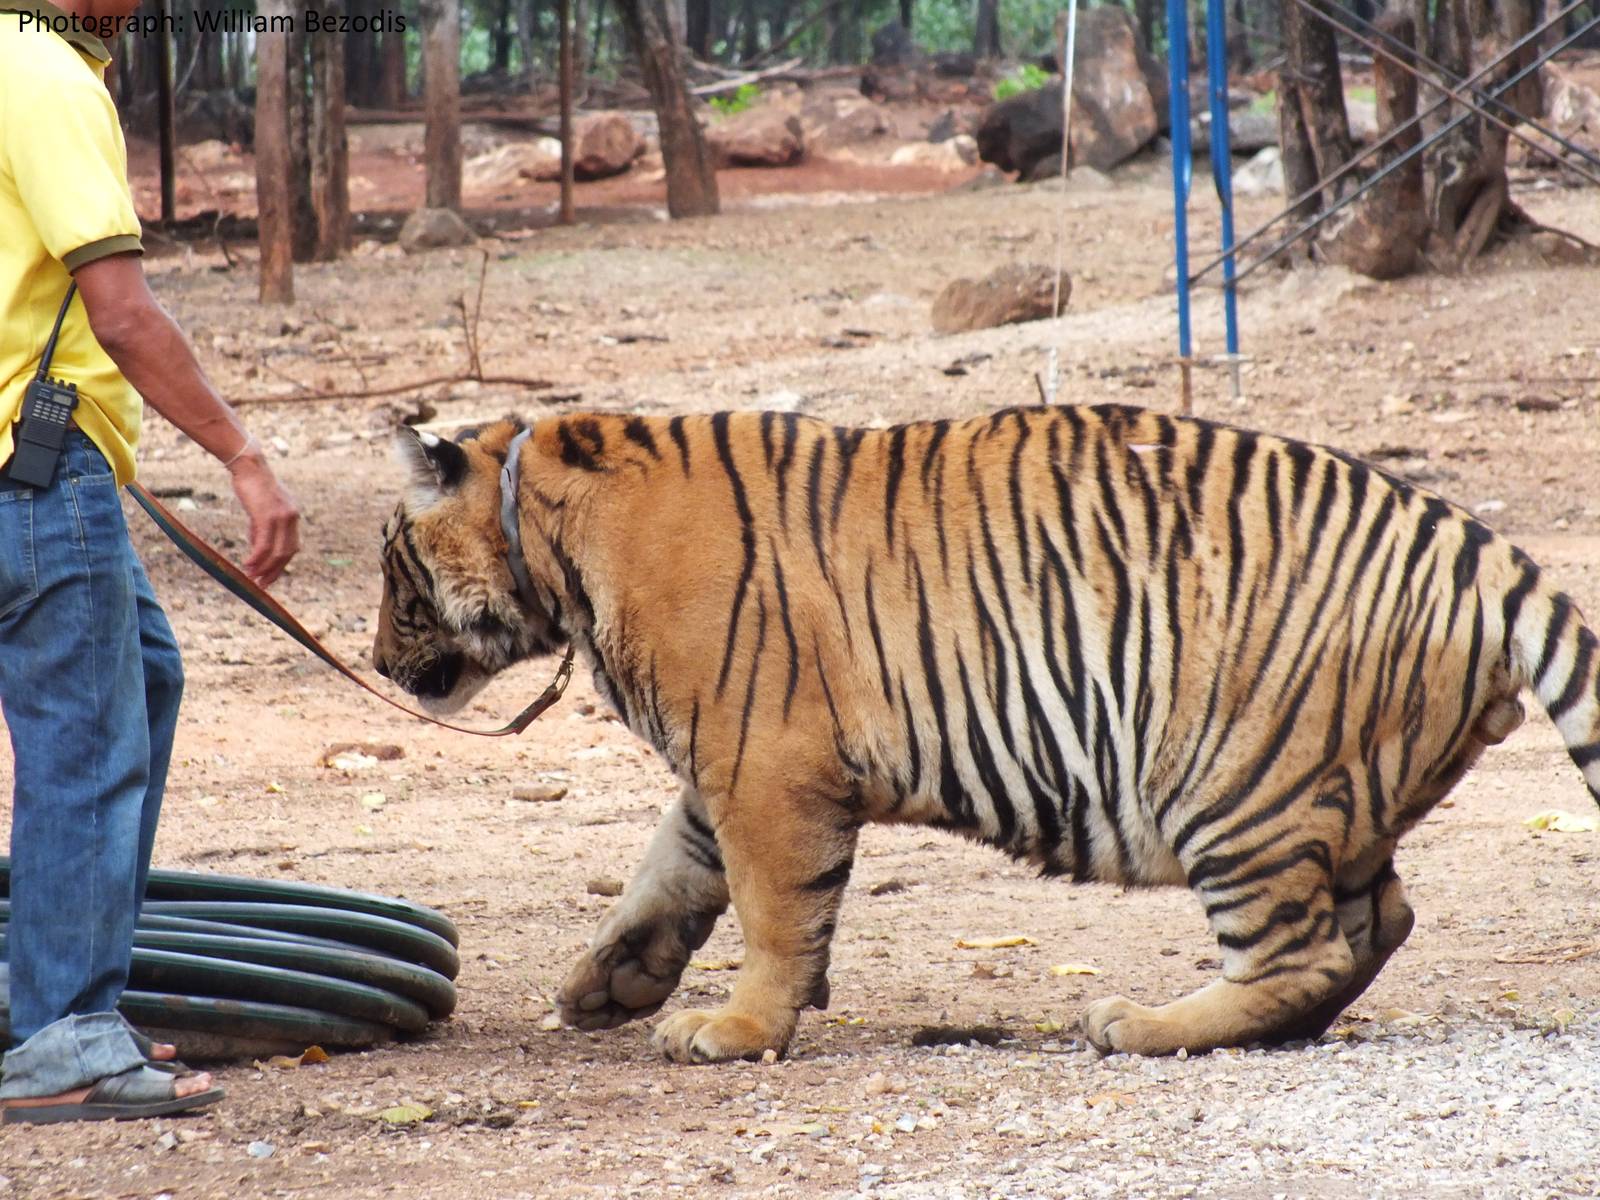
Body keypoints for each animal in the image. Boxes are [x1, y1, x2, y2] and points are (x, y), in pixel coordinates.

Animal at [372, 404, 1600, 1063]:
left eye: (390, 569)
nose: (379, 662)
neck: (554, 541)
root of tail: (1477, 545)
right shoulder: (720, 762)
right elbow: (664, 876)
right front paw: (606, 986)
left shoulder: (762, 762)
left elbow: (771, 913)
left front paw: (735, 1028)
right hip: (1337, 791)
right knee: (1375, 922)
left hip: (1233, 778)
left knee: (1303, 946)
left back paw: (1142, 1024)